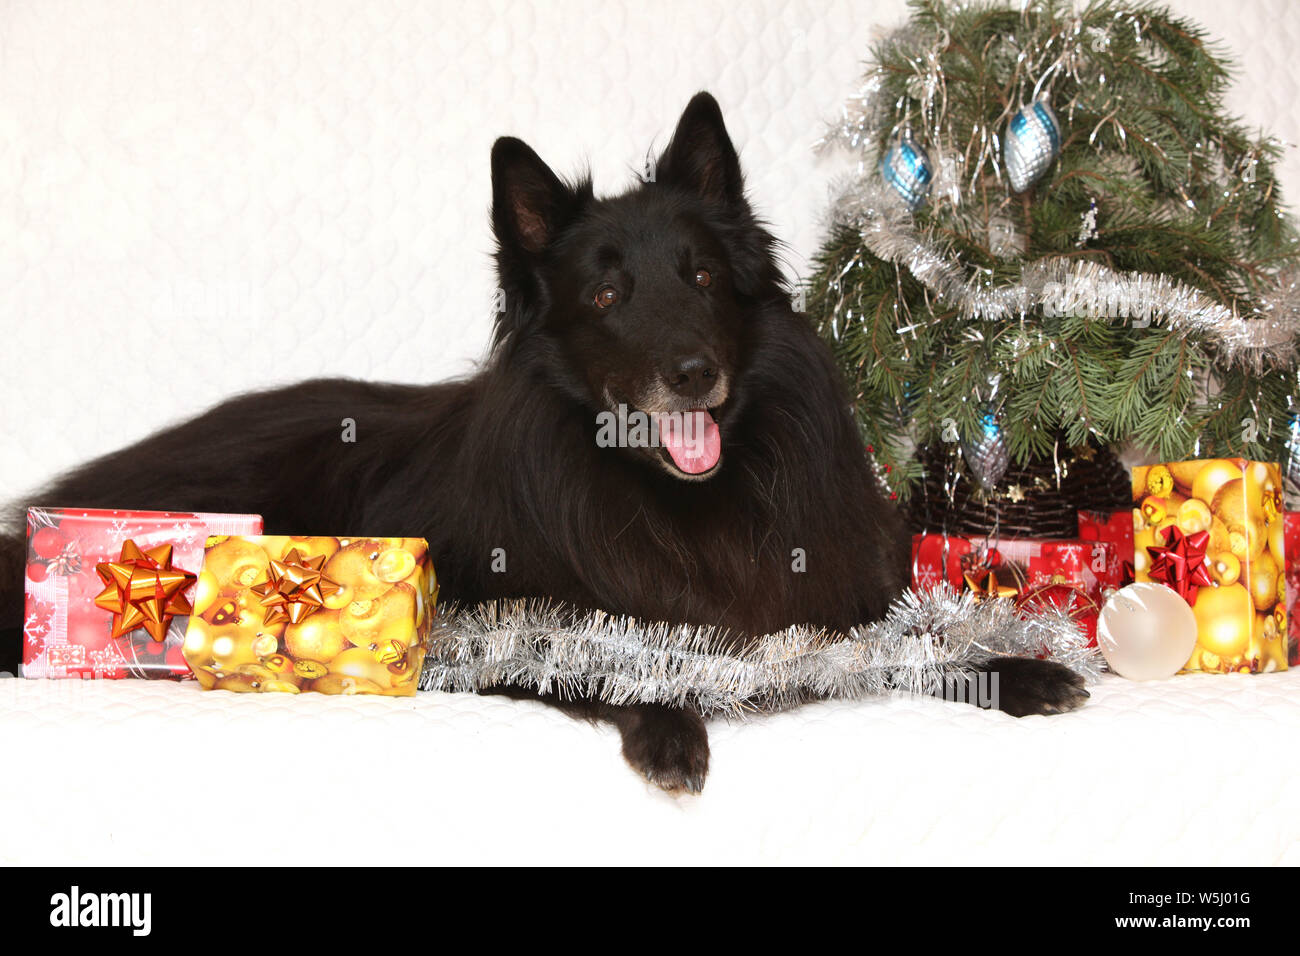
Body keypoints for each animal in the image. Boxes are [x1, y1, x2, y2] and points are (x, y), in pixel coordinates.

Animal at [2, 91, 1086, 790]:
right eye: (605, 296)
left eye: (700, 276)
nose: (692, 371)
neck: (684, 499)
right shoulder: (493, 618)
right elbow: (595, 654)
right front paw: (668, 722)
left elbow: (914, 638)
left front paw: (1014, 667)